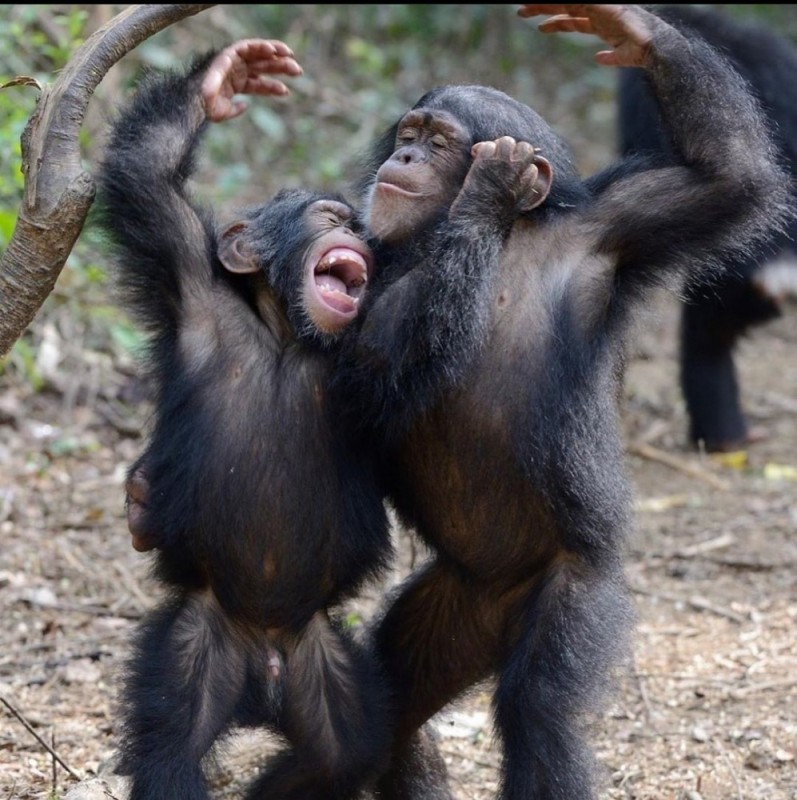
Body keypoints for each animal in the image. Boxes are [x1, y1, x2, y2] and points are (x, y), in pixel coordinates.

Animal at [101, 32, 548, 800]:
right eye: (328, 219)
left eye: (355, 225)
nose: (356, 235)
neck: (288, 335)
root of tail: (264, 662)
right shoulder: (183, 273)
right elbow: (145, 178)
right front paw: (226, 80)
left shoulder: (366, 355)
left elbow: (403, 349)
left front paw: (487, 193)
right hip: (199, 642)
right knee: (170, 746)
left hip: (322, 660)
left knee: (343, 751)